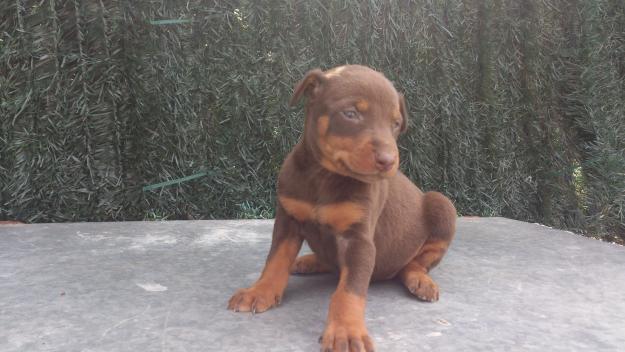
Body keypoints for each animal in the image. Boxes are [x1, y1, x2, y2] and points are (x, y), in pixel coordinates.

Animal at [227, 64, 456, 350]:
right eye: (351, 114)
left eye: (395, 124)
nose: (388, 160)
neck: (324, 176)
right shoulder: (288, 219)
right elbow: (275, 260)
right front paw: (259, 291)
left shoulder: (358, 240)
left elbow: (349, 291)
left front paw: (346, 331)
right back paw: (310, 261)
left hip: (442, 206)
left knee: (414, 263)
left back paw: (420, 280)